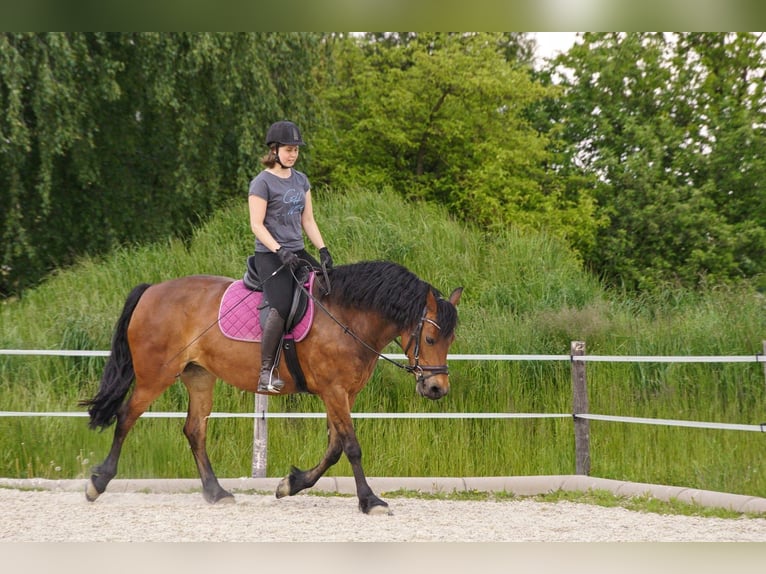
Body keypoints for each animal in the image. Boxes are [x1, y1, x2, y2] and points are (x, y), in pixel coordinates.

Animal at [80, 260, 463, 514]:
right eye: (430, 338)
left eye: (450, 340)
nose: (437, 388)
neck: (347, 317)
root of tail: (152, 291)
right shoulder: (334, 391)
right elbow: (351, 447)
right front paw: (370, 501)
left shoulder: (344, 394)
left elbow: (335, 447)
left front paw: (290, 484)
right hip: (155, 376)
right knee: (126, 417)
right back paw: (98, 483)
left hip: (199, 376)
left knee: (194, 430)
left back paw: (216, 492)